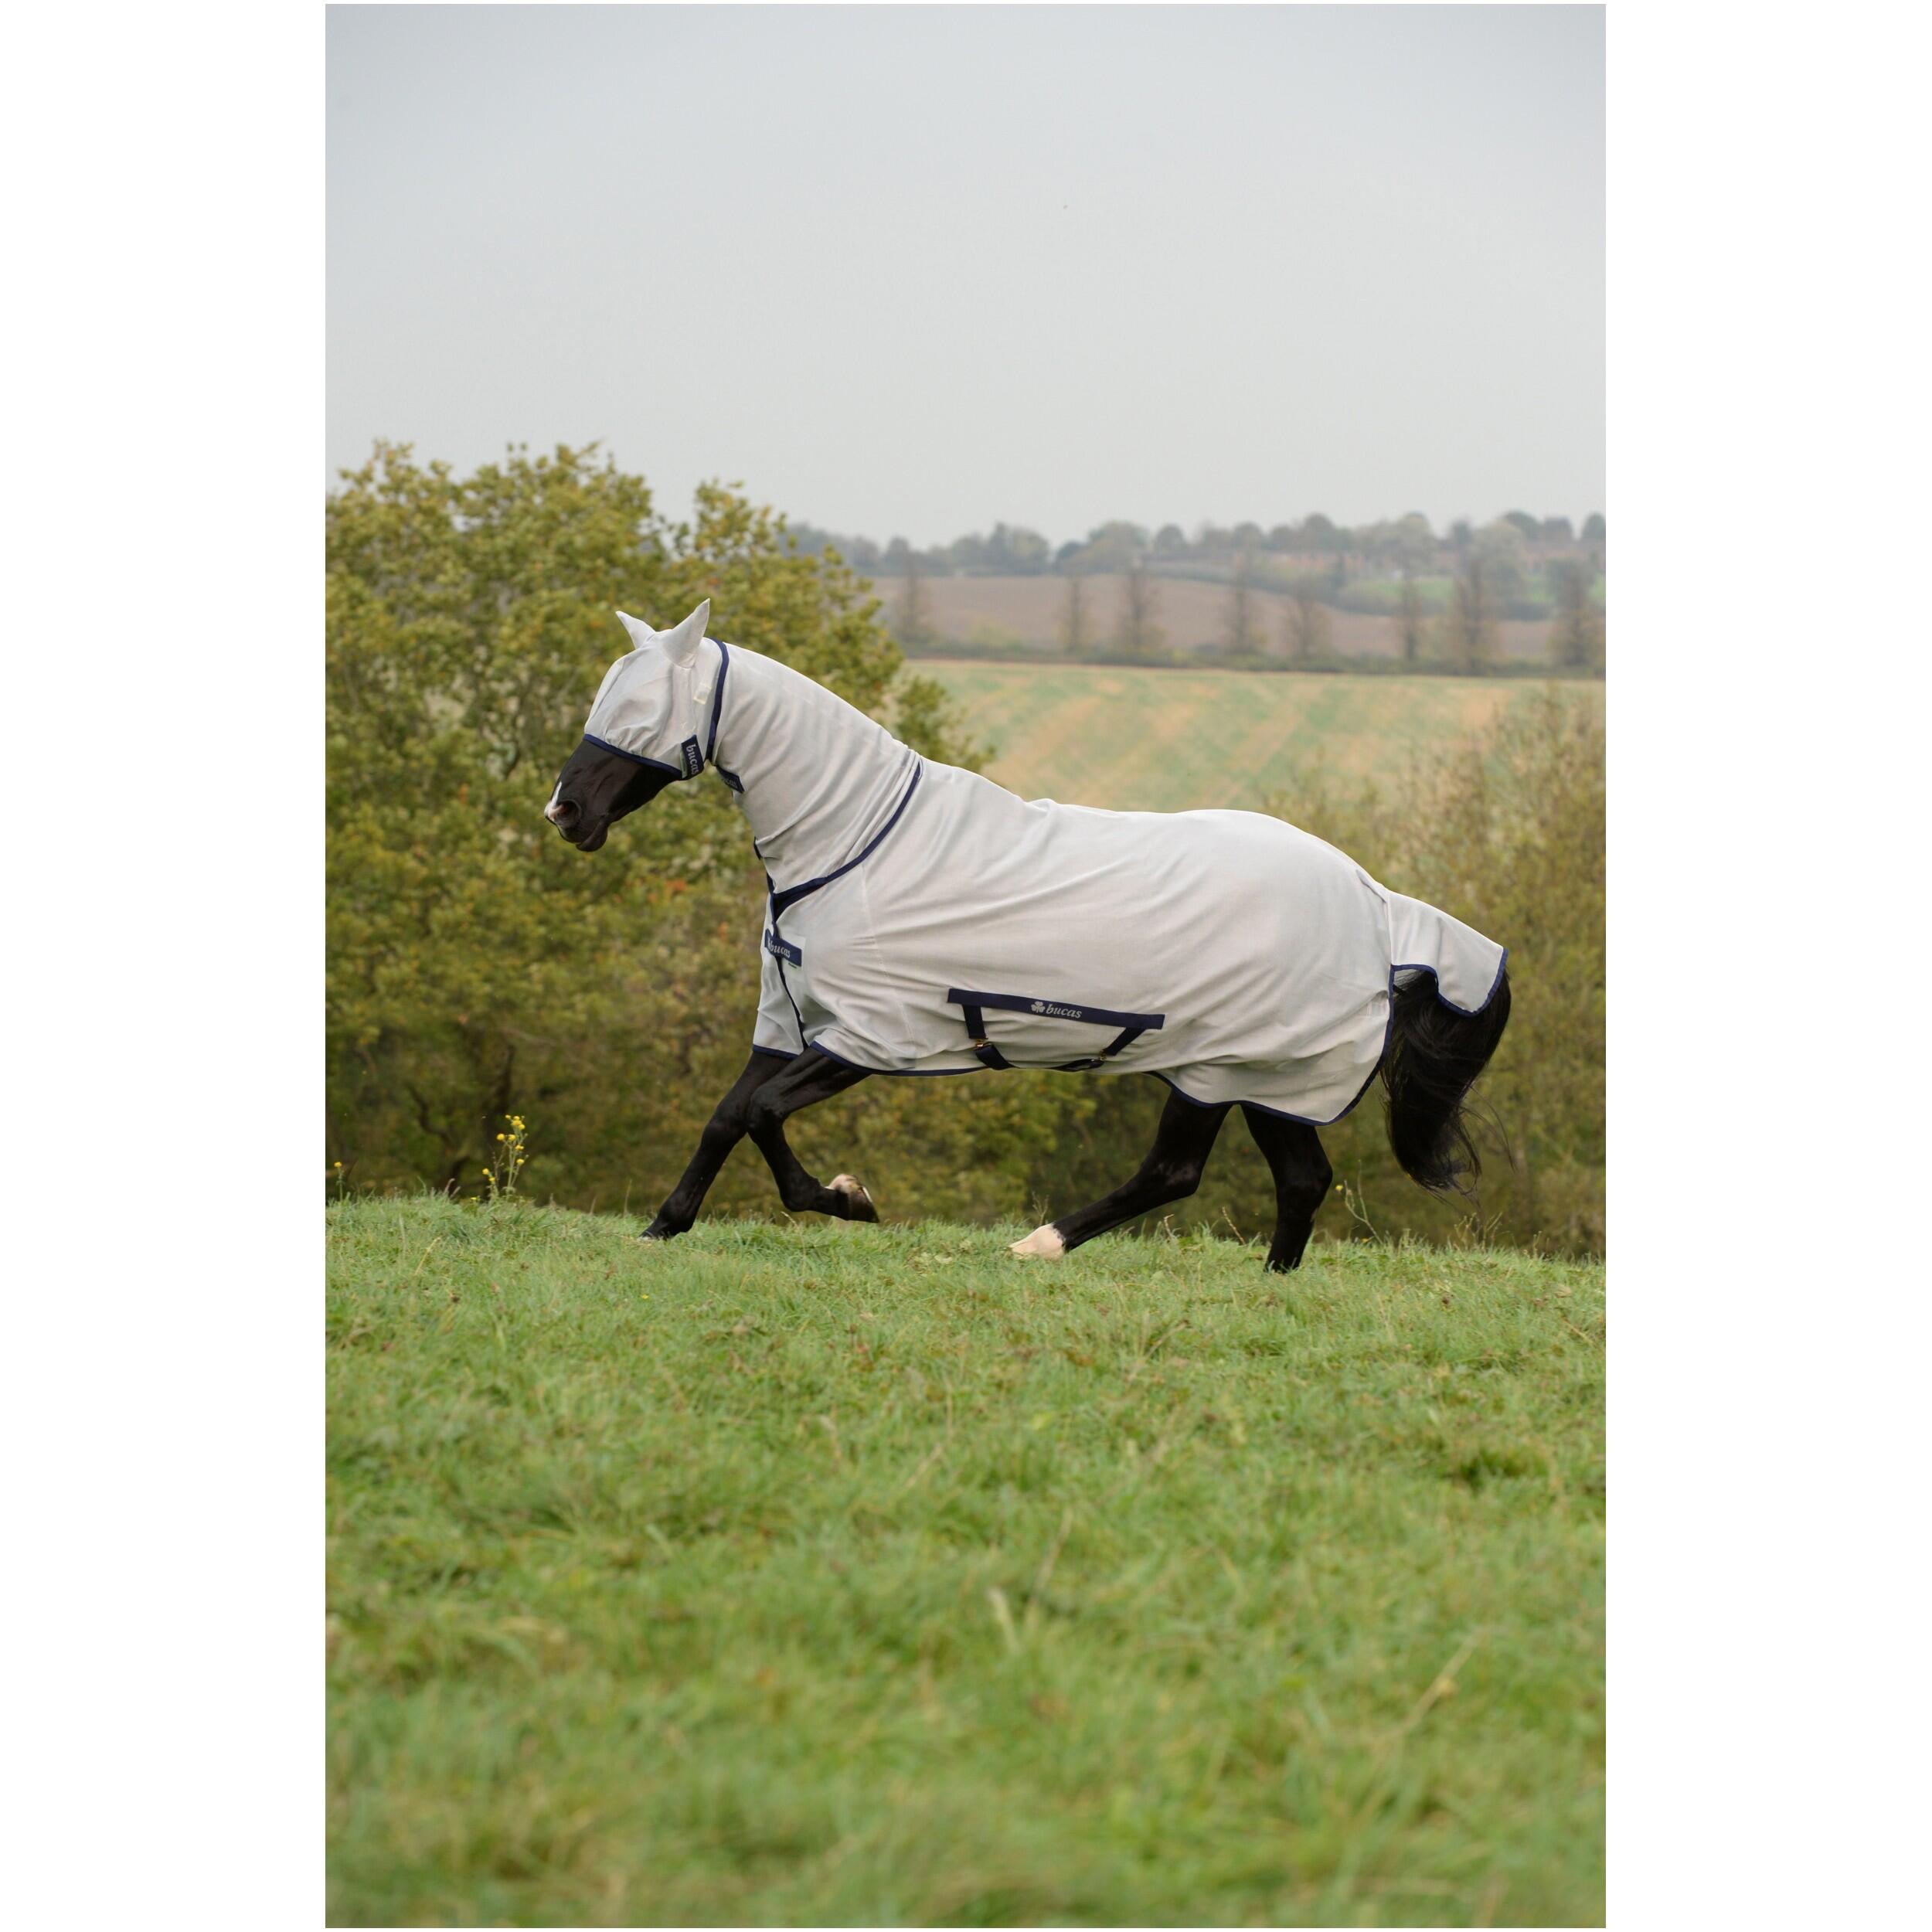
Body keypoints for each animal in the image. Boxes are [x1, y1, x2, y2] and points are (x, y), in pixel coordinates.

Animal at [546, 601, 1511, 1270]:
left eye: (641, 710)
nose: (565, 813)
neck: (856, 841)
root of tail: (1377, 903)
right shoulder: (787, 1020)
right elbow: (727, 1115)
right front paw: (663, 1225)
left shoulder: (866, 1039)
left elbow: (757, 1115)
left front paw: (848, 1199)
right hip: (1261, 1078)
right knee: (1291, 1180)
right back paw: (1262, 1283)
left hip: (1226, 1068)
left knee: (1182, 1173)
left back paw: (1039, 1245)